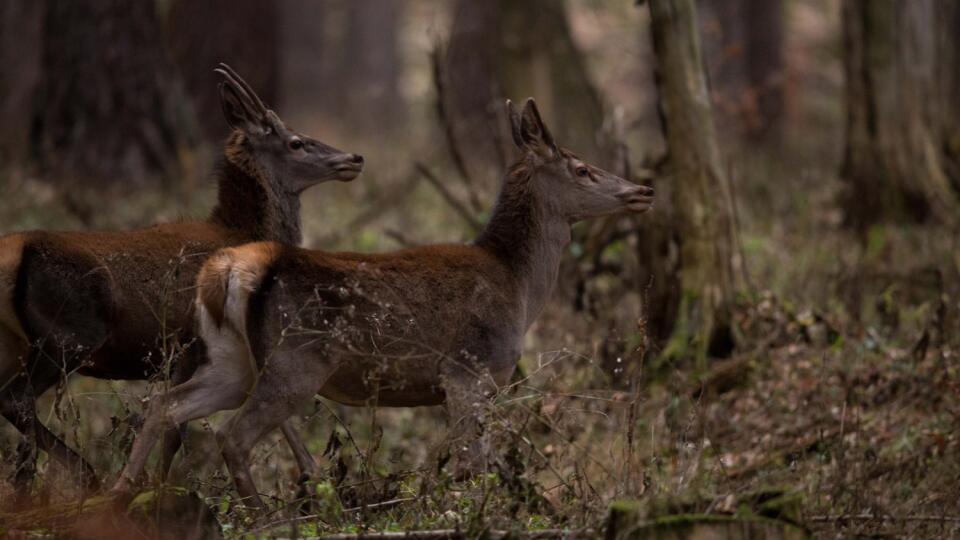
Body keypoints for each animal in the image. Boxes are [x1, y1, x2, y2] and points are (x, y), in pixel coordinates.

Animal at [0, 64, 364, 506]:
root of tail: (13, 252)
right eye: (295, 142)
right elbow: (176, 428)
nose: (353, 158)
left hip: (16, 344)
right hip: (68, 336)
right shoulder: (190, 343)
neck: (239, 232)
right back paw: (88, 476)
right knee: (16, 400)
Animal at [110, 99, 652, 508]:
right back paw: (266, 515)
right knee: (231, 435)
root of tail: (226, 273)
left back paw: (122, 493)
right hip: (294, 363)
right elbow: (472, 463)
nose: (643, 189)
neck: (518, 286)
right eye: (582, 168)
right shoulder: (468, 370)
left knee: (165, 404)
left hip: (232, 360)